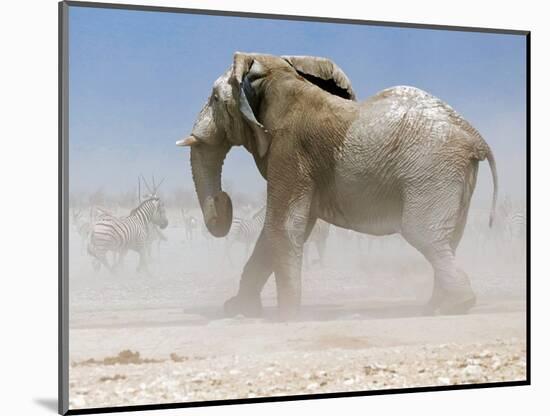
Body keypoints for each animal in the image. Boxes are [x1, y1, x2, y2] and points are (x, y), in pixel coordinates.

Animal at [178, 52, 500, 318]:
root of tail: (474, 136)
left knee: (422, 234)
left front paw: (286, 317)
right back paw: (436, 307)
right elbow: (282, 228)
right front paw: (240, 310)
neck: (275, 71)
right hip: (451, 174)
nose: (225, 200)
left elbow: (283, 225)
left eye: (214, 99)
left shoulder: (290, 150)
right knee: (449, 238)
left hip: (430, 170)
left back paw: (454, 306)